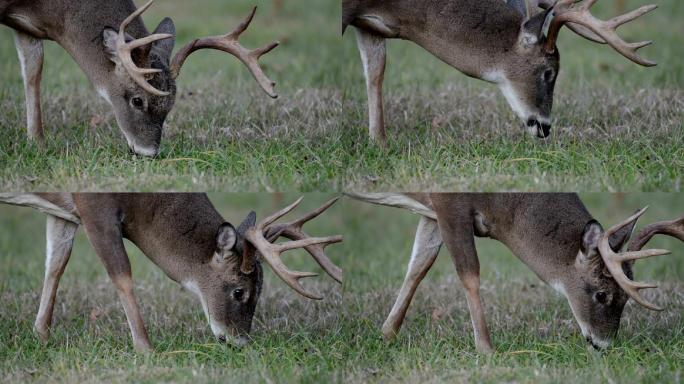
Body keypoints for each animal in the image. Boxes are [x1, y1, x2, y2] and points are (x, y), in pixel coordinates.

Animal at [0, 194, 342, 352]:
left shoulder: (64, 212)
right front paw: (146, 348)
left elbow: (56, 263)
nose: (240, 342)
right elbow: (121, 274)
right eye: (238, 291)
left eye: (261, 291)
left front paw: (41, 334)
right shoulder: (94, 206)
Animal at [2, 0, 278, 156]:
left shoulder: (27, 28)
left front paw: (36, 144)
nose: (149, 153)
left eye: (171, 105)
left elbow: (33, 71)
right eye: (137, 100)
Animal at [350, 194, 680, 352]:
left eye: (626, 298)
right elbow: (469, 273)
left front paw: (386, 334)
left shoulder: (431, 212)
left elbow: (419, 264)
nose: (603, 345)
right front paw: (486, 349)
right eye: (601, 294)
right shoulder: (449, 203)